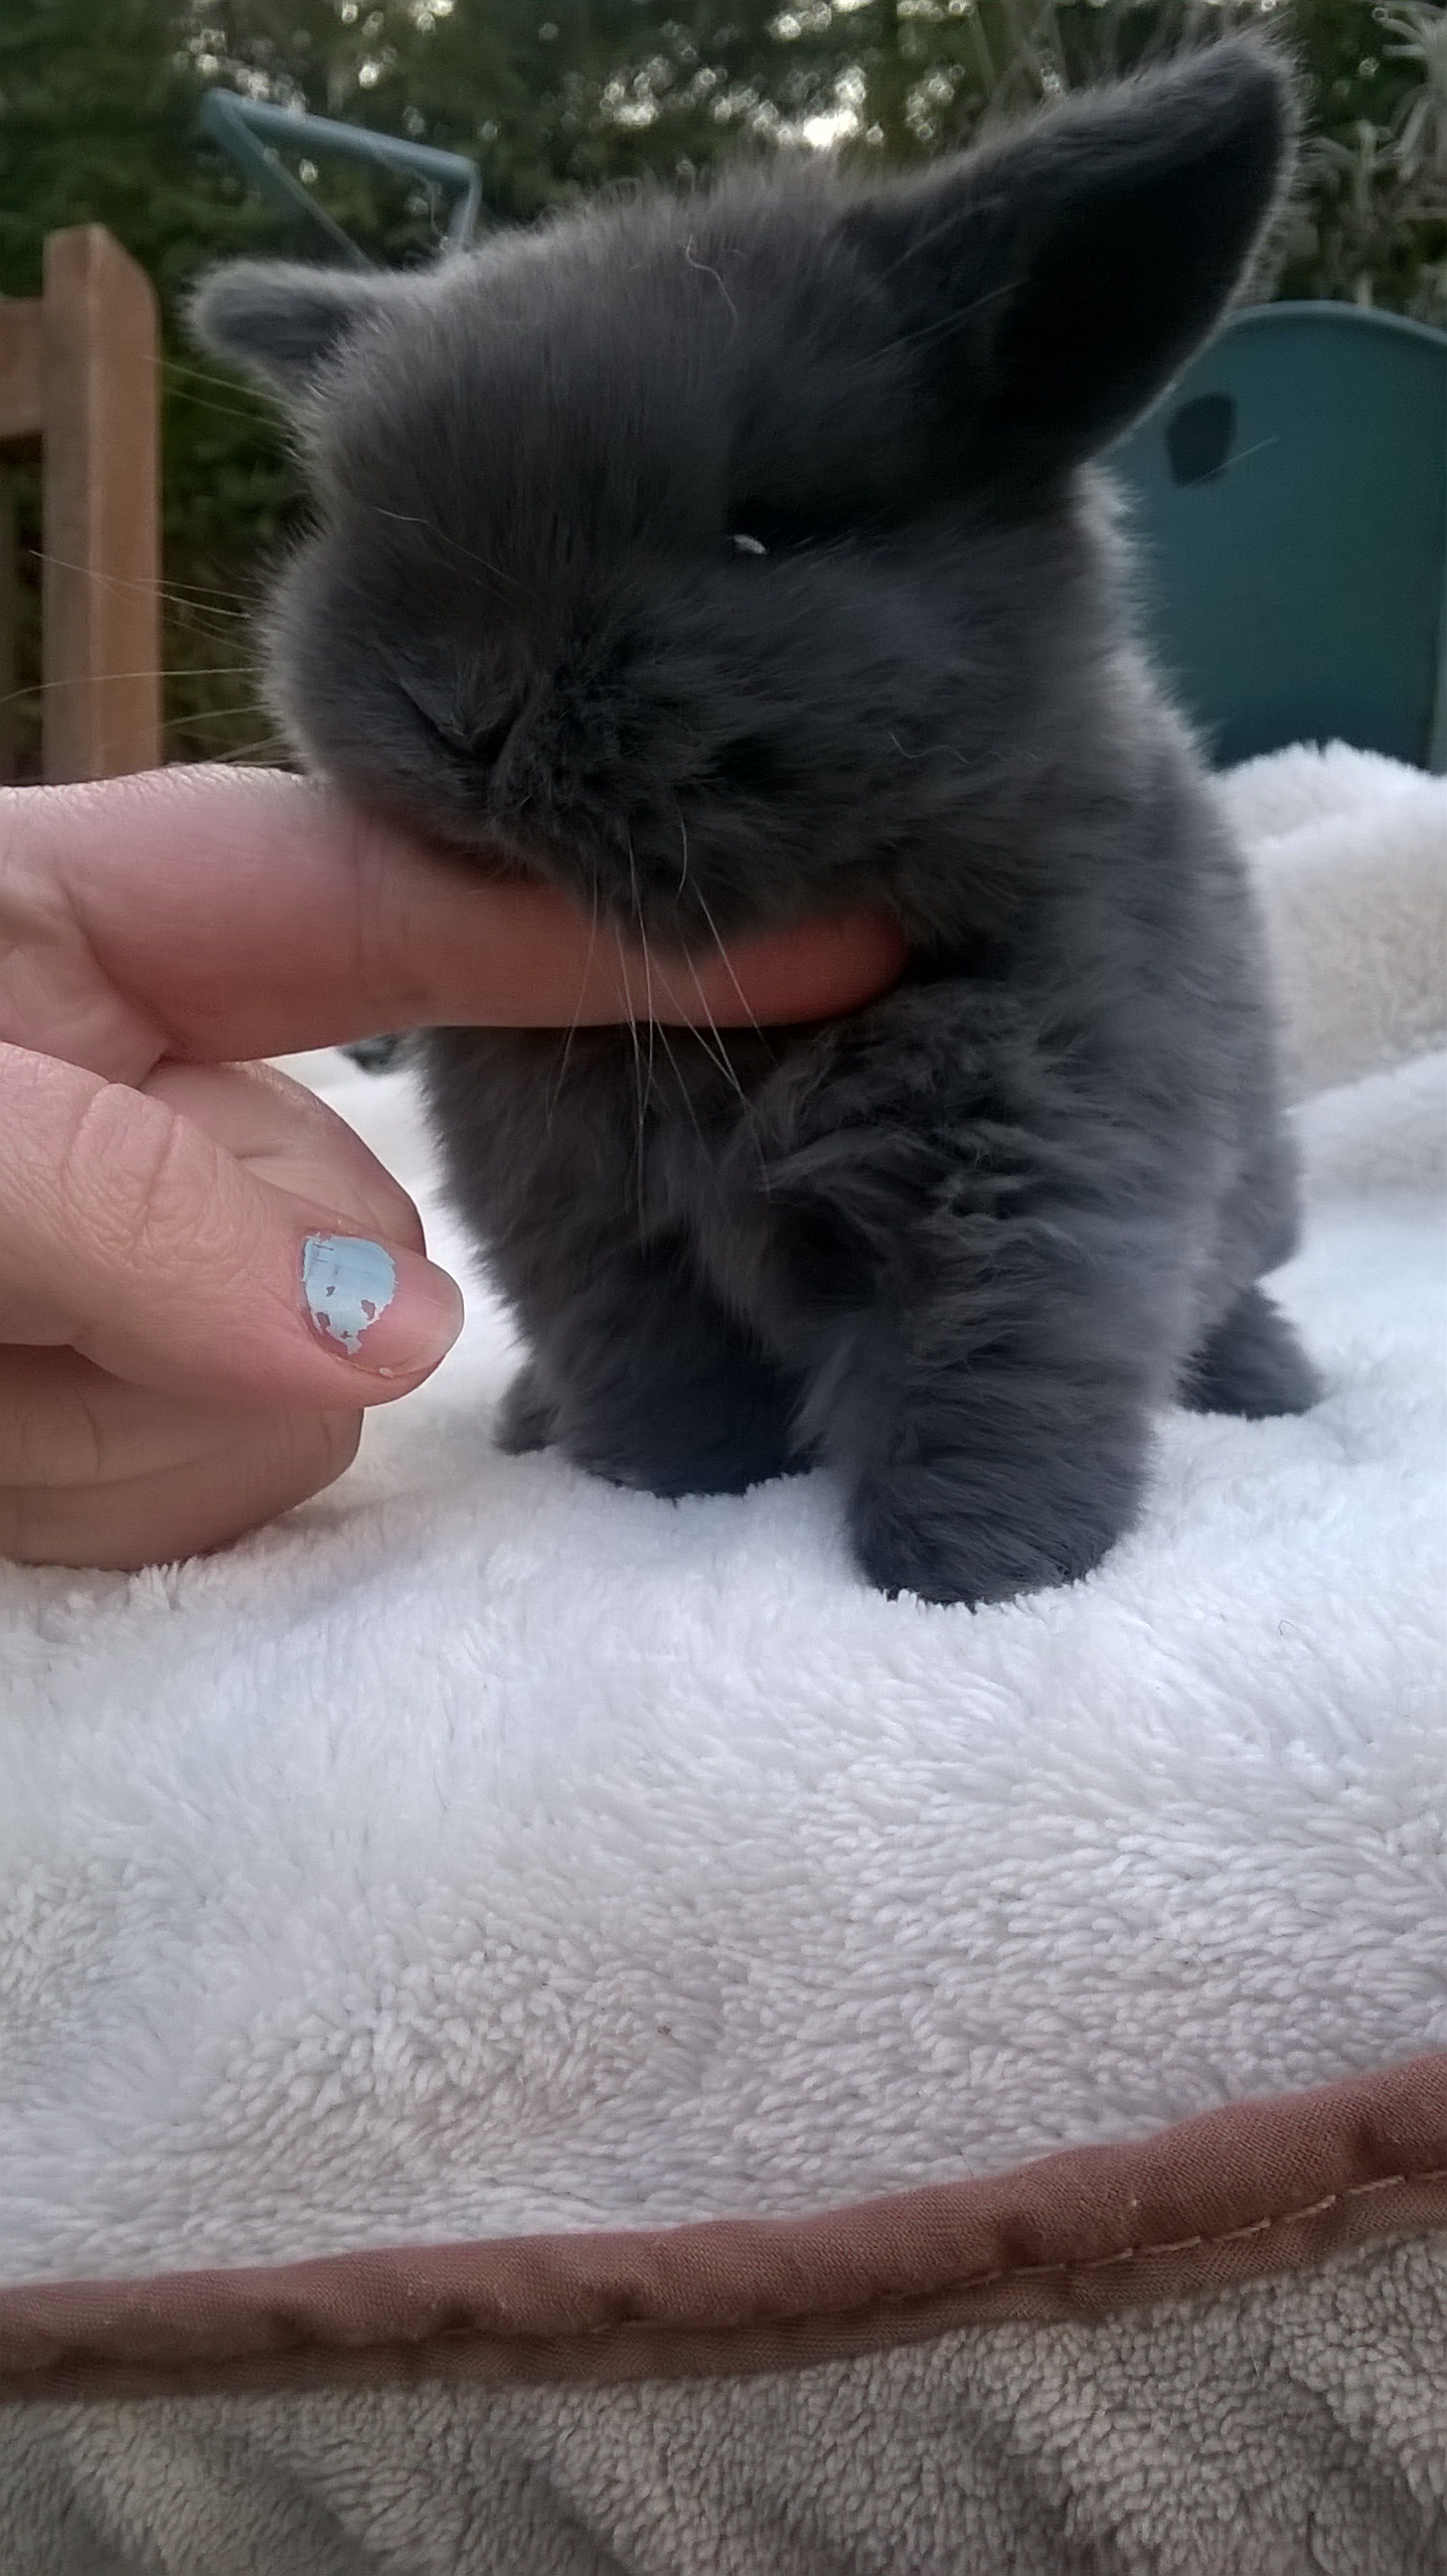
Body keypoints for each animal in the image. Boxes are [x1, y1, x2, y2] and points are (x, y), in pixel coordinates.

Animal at [194, 35, 1320, 1608]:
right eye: (364, 527)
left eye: (760, 534)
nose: (464, 711)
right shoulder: (588, 1230)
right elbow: (664, 1373)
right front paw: (682, 1491)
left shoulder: (1046, 1167)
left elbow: (1002, 1369)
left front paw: (975, 1573)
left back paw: (1272, 1384)